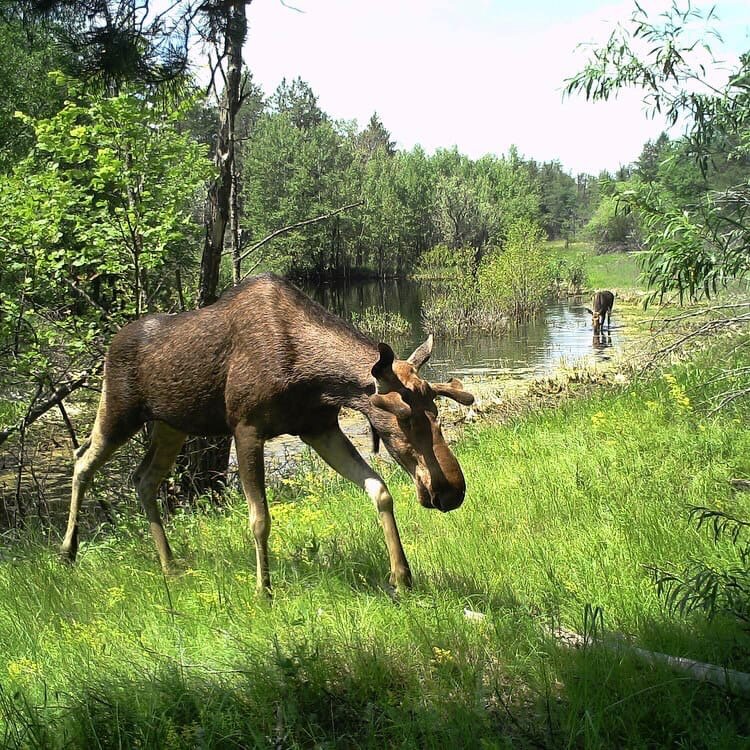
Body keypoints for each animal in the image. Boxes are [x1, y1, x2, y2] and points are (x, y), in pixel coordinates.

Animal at [64, 274, 476, 596]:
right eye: (403, 417)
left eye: (437, 414)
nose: (451, 491)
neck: (315, 379)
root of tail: (111, 344)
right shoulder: (246, 427)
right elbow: (260, 518)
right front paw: (264, 589)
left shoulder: (319, 428)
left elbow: (380, 490)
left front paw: (401, 576)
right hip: (119, 409)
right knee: (82, 460)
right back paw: (68, 552)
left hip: (171, 424)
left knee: (144, 478)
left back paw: (169, 564)